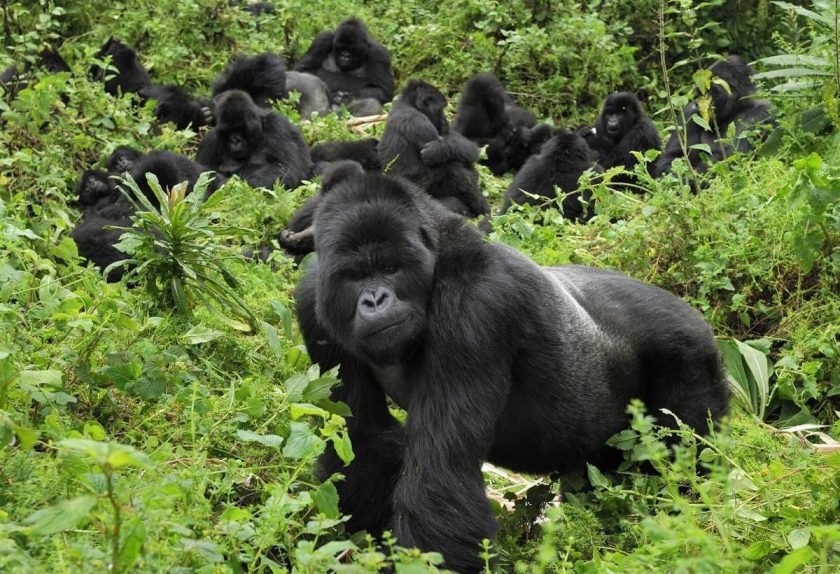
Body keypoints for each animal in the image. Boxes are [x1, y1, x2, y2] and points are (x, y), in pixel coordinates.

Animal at [298, 169, 732, 572]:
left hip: (691, 354)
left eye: (390, 268)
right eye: (355, 276)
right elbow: (362, 442)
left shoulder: (475, 306)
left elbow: (440, 477)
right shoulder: (313, 303)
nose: (375, 299)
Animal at [378, 79, 488, 218]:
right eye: (441, 109)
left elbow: (463, 146)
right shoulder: (418, 122)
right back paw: (481, 207)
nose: (446, 121)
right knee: (455, 170)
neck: (409, 104)